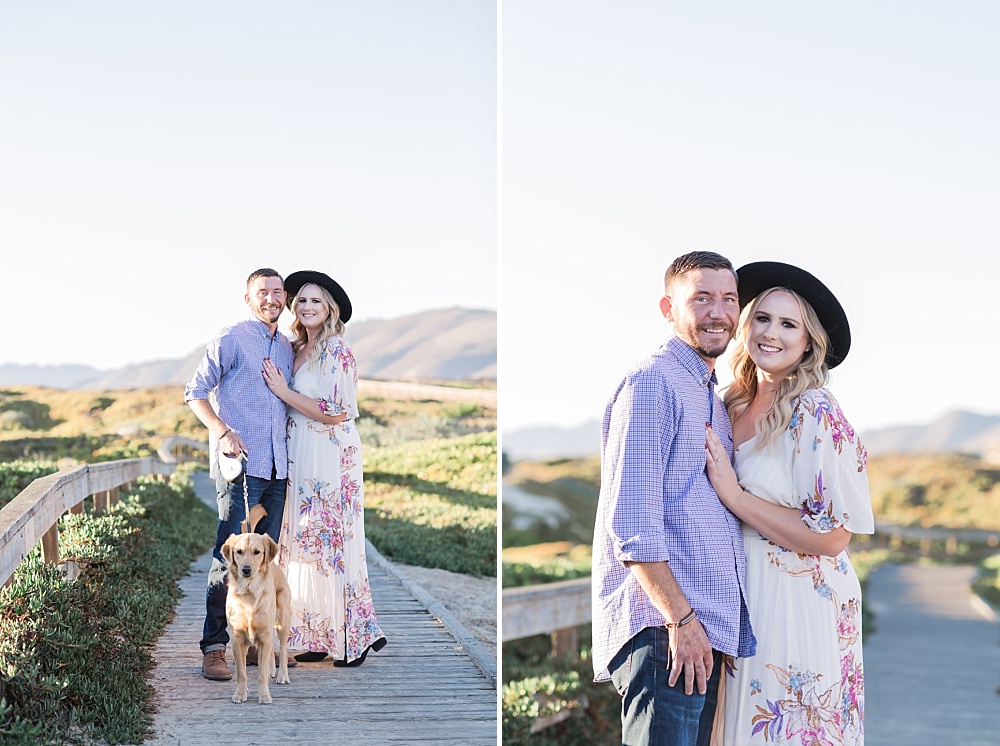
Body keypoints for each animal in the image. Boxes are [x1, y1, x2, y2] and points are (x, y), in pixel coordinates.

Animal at [221, 532, 292, 700]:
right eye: (239, 551)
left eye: (257, 552)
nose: (246, 569)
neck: (249, 592)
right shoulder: (238, 638)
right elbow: (241, 673)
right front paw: (240, 694)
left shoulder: (264, 635)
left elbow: (262, 674)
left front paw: (264, 696)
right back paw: (272, 670)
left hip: (283, 620)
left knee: (283, 649)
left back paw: (282, 676)